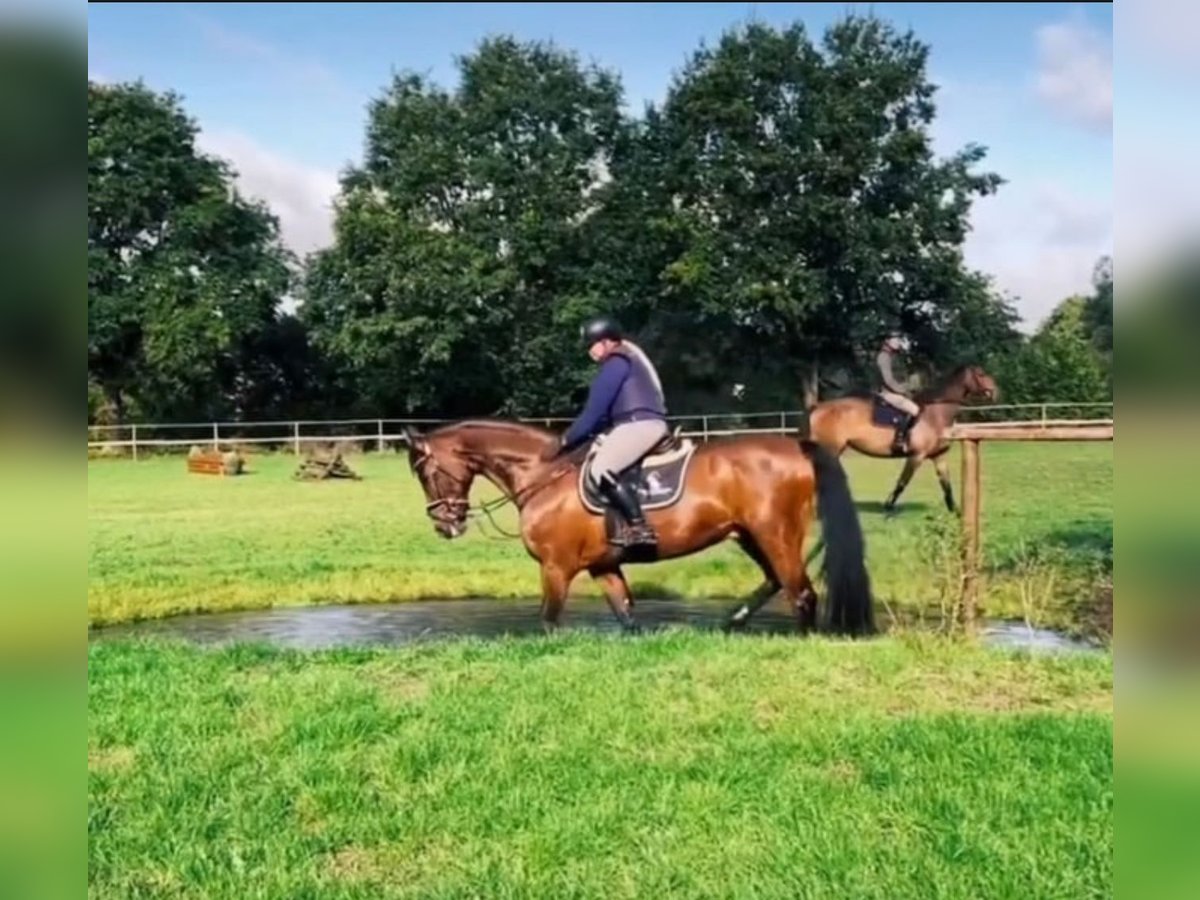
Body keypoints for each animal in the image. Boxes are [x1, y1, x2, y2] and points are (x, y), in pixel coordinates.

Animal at [403, 422, 873, 638]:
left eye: (424, 472)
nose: (445, 525)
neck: (543, 474)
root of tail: (798, 447)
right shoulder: (604, 567)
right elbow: (626, 615)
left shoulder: (556, 568)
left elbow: (548, 621)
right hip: (749, 536)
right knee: (777, 581)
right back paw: (732, 620)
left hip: (775, 534)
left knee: (801, 592)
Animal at [801, 364, 998, 513]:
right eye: (981, 374)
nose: (995, 391)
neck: (934, 414)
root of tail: (817, 408)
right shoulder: (916, 456)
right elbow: (903, 481)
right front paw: (888, 507)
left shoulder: (938, 456)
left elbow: (946, 484)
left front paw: (955, 511)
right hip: (830, 450)